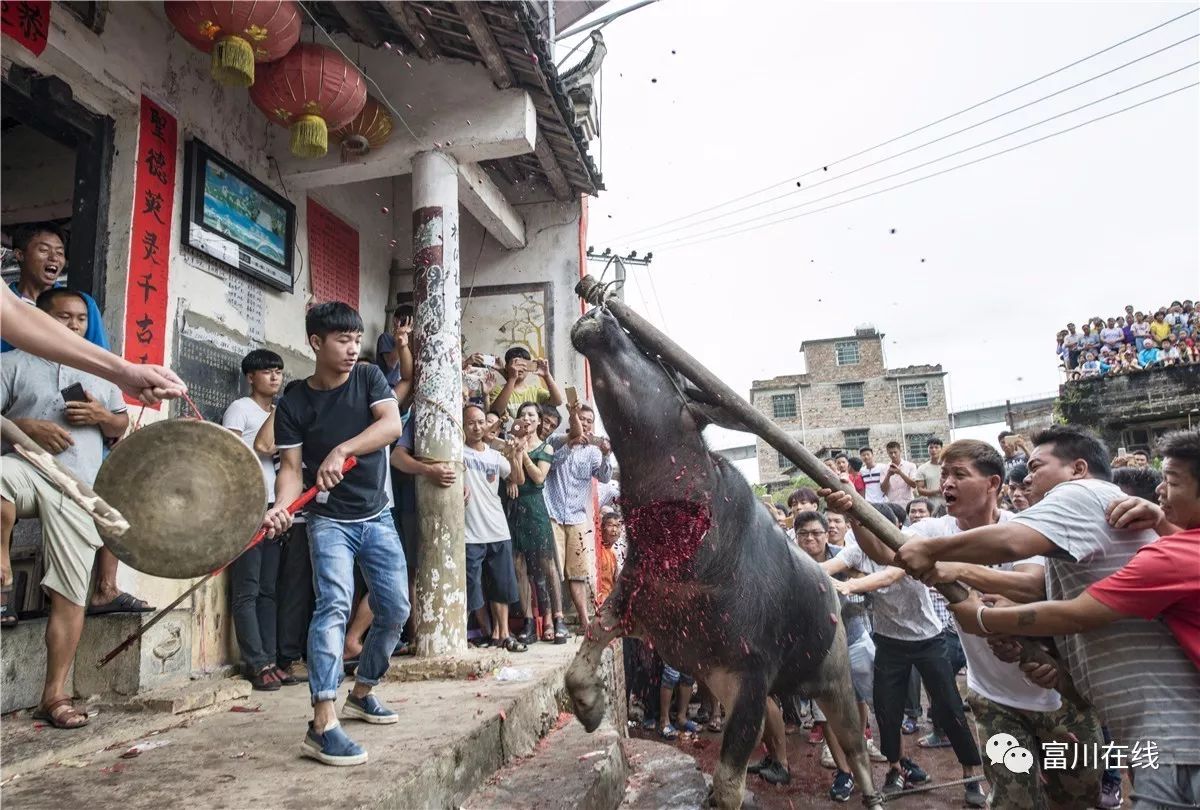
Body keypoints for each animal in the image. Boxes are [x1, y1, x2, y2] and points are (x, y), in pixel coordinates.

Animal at [561, 307, 883, 806]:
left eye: (659, 360)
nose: (601, 315)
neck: (691, 553)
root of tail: (835, 590)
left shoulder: (750, 678)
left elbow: (729, 785)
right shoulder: (635, 604)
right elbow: (582, 657)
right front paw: (591, 709)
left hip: (836, 679)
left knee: (855, 744)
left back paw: (869, 791)